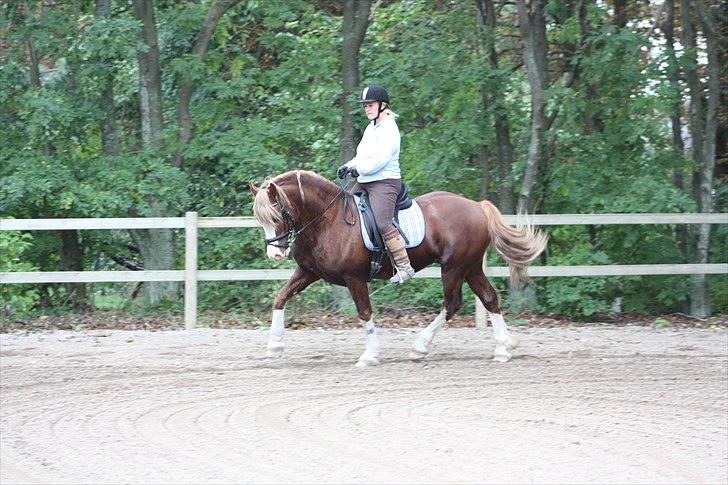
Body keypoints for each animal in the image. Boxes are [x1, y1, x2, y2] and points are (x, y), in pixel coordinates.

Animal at [250, 168, 544, 364]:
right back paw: (503, 348)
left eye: (277, 216)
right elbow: (280, 297)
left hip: (454, 267)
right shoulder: (309, 272)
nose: (274, 254)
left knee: (452, 304)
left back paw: (420, 347)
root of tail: (477, 206)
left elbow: (364, 312)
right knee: (489, 298)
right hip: (470, 267)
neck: (326, 220)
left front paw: (370, 355)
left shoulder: (354, 278)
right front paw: (274, 345)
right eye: (261, 219)